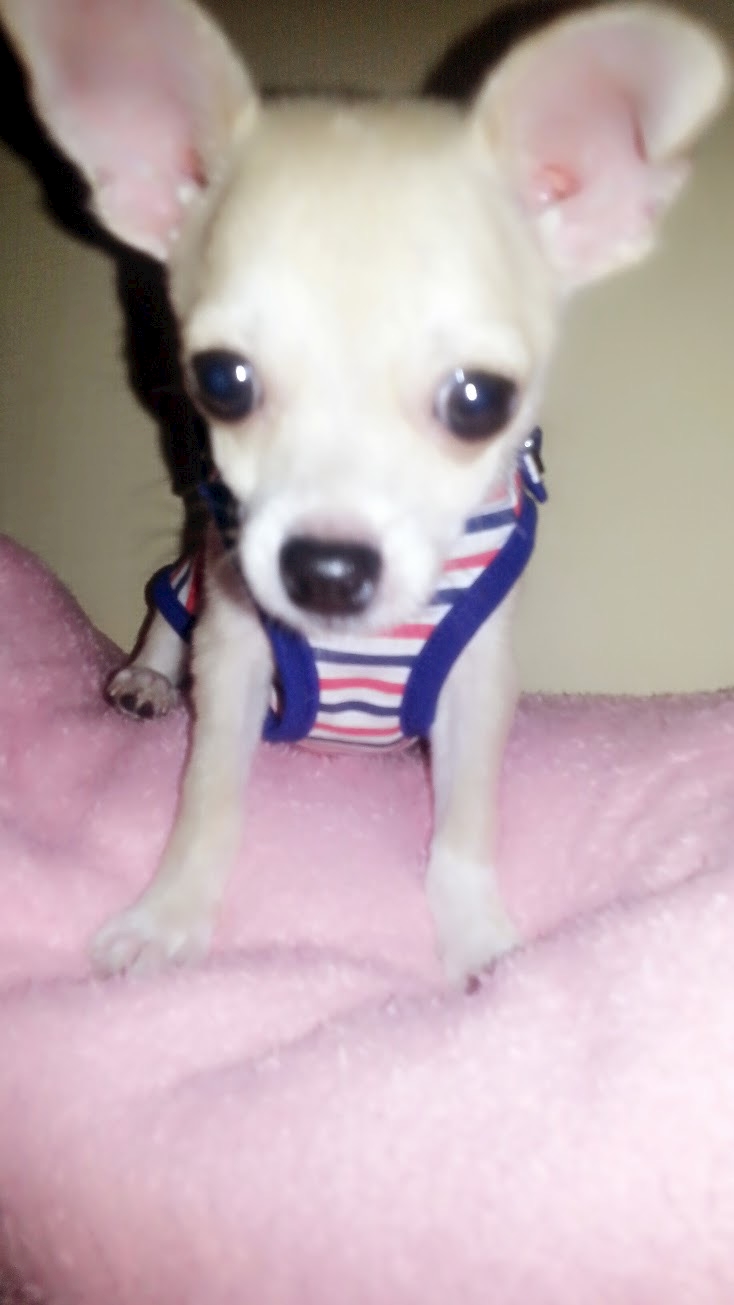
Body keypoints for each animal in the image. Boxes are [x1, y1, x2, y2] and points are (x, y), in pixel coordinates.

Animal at [1, 0, 728, 984]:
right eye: (220, 381)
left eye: (480, 400)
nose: (327, 568)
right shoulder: (233, 653)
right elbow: (208, 802)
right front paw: (171, 915)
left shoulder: (476, 680)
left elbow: (465, 828)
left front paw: (478, 938)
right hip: (196, 577)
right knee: (165, 608)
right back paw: (144, 679)